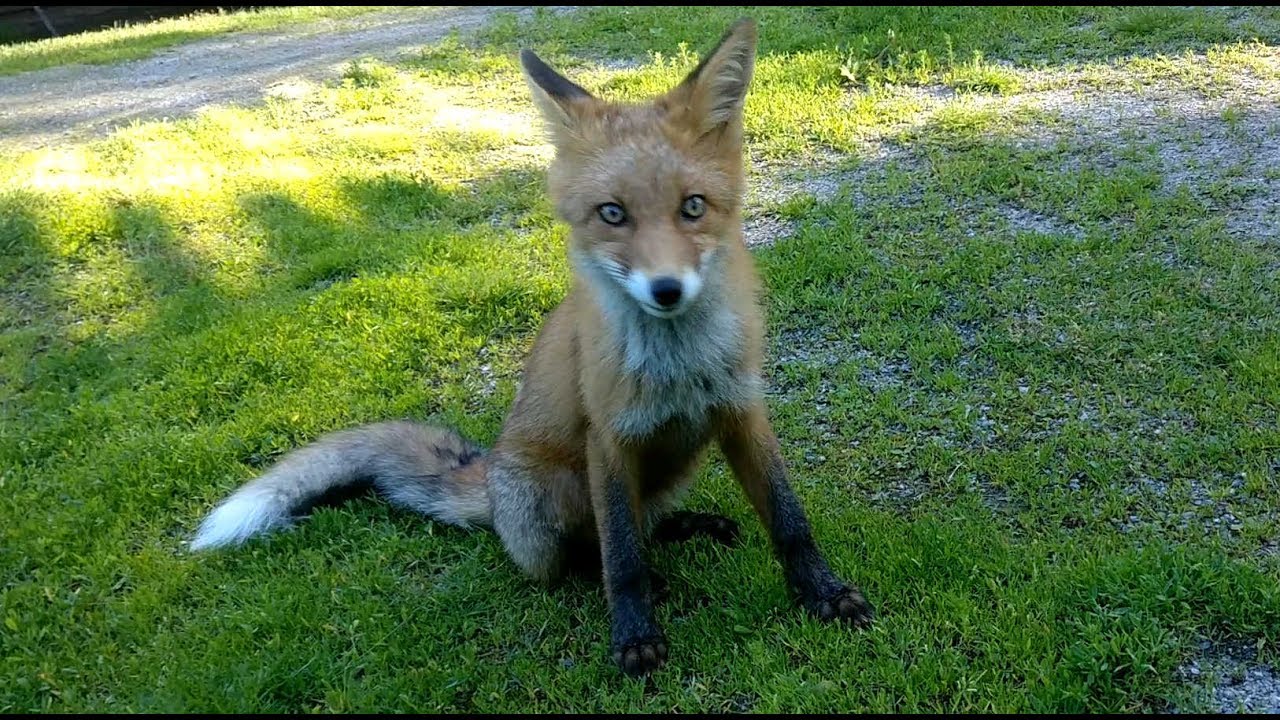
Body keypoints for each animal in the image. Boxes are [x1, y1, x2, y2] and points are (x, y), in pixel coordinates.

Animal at [190, 17, 873, 677]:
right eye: (612, 214)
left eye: (693, 207)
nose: (667, 290)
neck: (680, 366)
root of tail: (490, 478)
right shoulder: (608, 439)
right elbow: (621, 559)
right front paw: (635, 636)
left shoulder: (740, 410)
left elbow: (789, 520)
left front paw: (823, 594)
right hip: (549, 504)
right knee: (586, 555)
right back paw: (643, 574)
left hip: (678, 465)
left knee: (646, 522)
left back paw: (685, 527)